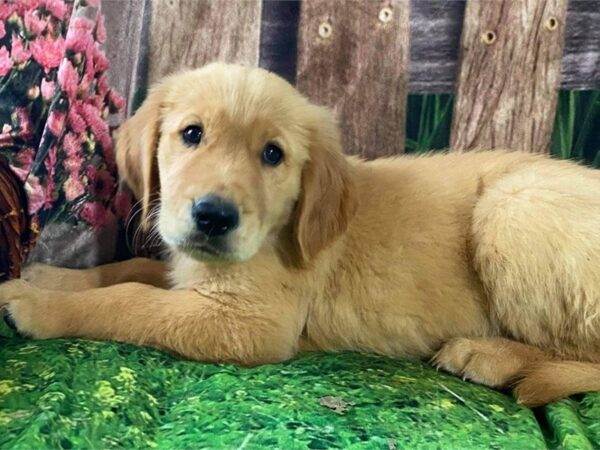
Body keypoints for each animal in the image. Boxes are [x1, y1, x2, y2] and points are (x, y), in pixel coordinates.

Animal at [1, 62, 600, 404]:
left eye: (273, 155)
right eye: (191, 134)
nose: (213, 216)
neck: (277, 230)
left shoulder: (250, 321)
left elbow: (130, 300)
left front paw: (34, 303)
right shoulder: (190, 268)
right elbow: (128, 269)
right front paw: (51, 276)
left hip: (511, 207)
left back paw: (490, 356)